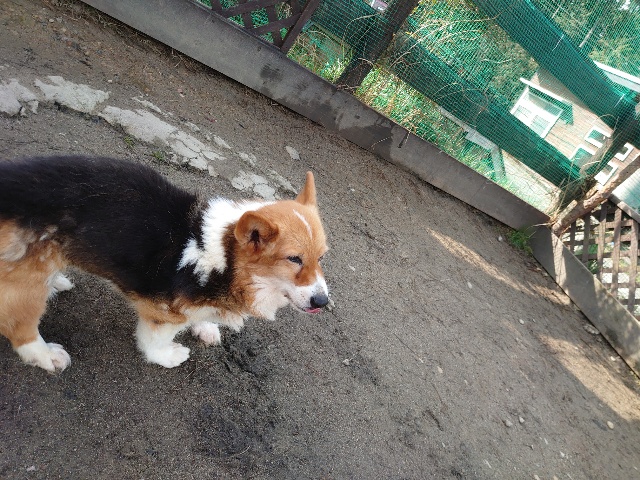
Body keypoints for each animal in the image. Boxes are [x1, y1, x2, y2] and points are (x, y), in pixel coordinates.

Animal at [0, 156, 329, 372]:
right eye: (294, 259)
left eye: (321, 257)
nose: (323, 301)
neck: (226, 258)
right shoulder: (162, 313)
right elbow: (154, 340)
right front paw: (167, 356)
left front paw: (206, 326)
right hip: (28, 288)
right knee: (20, 328)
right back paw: (46, 355)